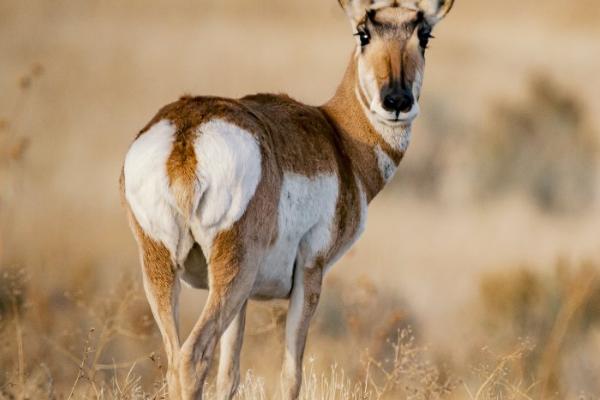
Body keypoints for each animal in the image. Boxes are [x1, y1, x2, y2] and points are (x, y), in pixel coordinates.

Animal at [120, 0, 454, 398]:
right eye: (364, 33)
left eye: (424, 35)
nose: (397, 101)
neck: (338, 135)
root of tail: (187, 134)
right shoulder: (311, 272)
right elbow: (292, 374)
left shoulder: (246, 299)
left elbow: (229, 375)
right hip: (233, 269)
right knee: (192, 357)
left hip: (163, 267)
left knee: (174, 359)